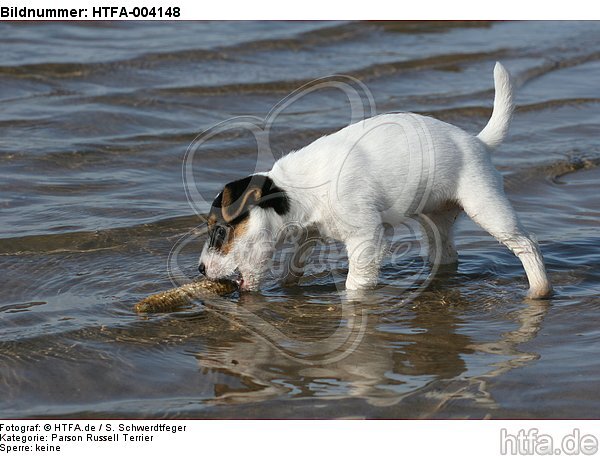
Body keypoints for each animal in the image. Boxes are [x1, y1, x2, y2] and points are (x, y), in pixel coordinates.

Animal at [200, 63, 552, 300]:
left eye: (219, 231)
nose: (200, 270)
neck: (296, 189)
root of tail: (477, 142)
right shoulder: (310, 234)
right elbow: (293, 266)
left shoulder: (366, 237)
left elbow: (356, 282)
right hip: (436, 219)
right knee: (447, 254)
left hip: (486, 205)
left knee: (527, 244)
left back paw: (539, 290)